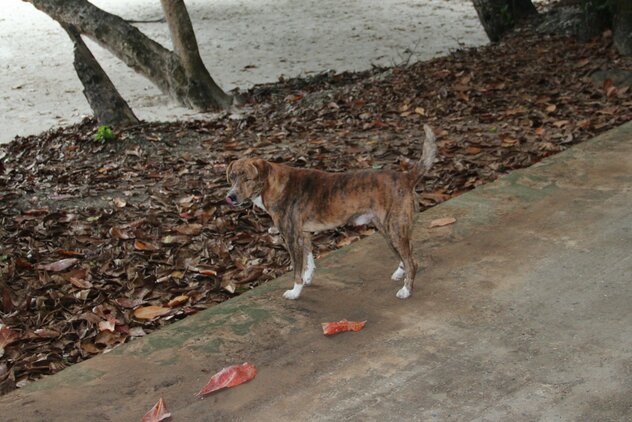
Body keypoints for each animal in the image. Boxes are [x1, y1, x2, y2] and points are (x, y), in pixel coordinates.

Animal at [227, 125, 440, 300]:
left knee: (413, 262)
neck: (274, 185)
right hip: (388, 230)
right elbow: (309, 260)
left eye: (247, 179)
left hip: (394, 229)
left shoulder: (291, 237)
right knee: (407, 252)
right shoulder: (303, 234)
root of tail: (406, 177)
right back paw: (400, 272)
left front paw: (295, 291)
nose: (230, 197)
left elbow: (297, 268)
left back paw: (406, 290)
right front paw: (307, 278)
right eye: (232, 177)